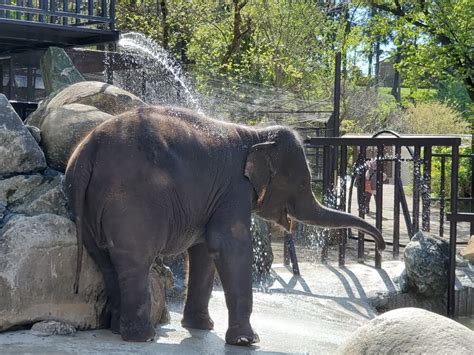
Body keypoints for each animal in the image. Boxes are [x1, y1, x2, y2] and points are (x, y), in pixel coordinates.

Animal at [65, 105, 386, 344]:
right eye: (303, 183)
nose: (382, 245)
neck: (256, 134)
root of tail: (88, 149)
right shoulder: (234, 188)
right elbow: (229, 245)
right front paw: (247, 341)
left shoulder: (214, 197)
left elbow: (204, 251)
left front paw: (202, 327)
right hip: (131, 202)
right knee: (135, 261)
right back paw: (143, 337)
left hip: (88, 206)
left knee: (104, 259)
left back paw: (117, 329)